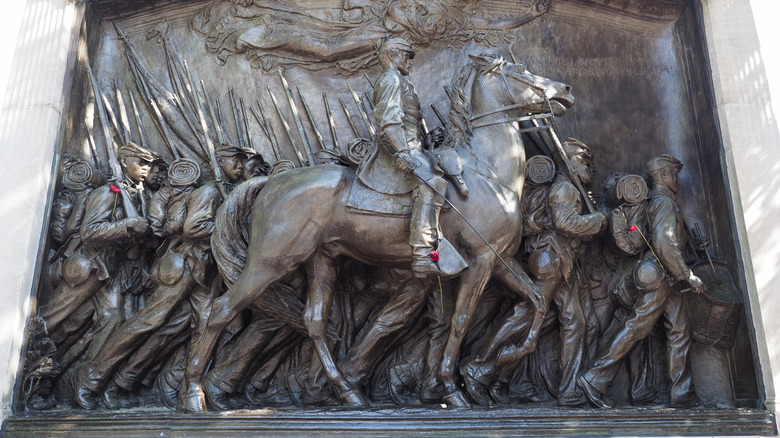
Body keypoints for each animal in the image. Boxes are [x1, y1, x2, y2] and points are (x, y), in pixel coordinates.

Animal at [180, 53, 576, 412]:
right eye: (520, 70)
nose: (566, 90)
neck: (487, 170)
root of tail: (270, 183)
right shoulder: (480, 261)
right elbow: (461, 322)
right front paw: (453, 388)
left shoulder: (502, 259)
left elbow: (537, 301)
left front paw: (505, 358)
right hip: (272, 261)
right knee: (221, 310)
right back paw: (195, 394)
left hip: (321, 260)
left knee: (314, 321)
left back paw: (346, 392)